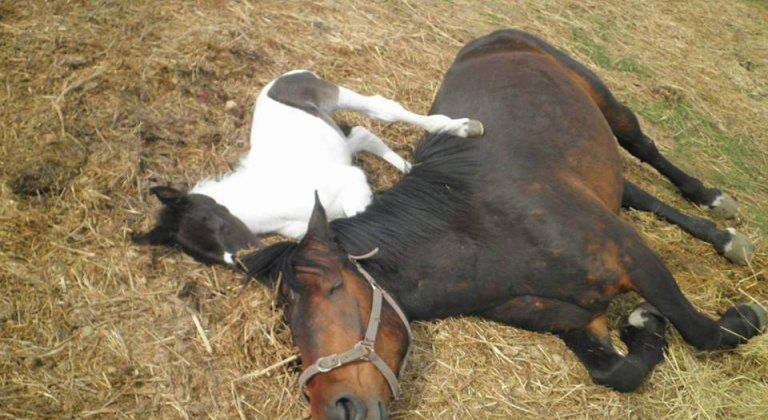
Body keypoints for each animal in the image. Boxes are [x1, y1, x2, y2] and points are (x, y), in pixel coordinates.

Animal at [132, 70, 483, 266]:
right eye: (199, 252)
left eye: (212, 222)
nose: (239, 261)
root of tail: (288, 75)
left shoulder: (351, 182)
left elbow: (364, 215)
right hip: (337, 139)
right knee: (362, 134)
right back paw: (409, 166)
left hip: (336, 96)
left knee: (382, 108)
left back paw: (466, 128)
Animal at [242, 30, 765, 419]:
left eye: (331, 289)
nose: (339, 408)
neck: (484, 233)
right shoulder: (578, 319)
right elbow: (617, 373)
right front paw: (644, 325)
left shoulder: (633, 257)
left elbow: (703, 332)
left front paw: (742, 317)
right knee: (637, 194)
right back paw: (722, 238)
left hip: (605, 101)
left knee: (645, 147)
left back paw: (716, 205)